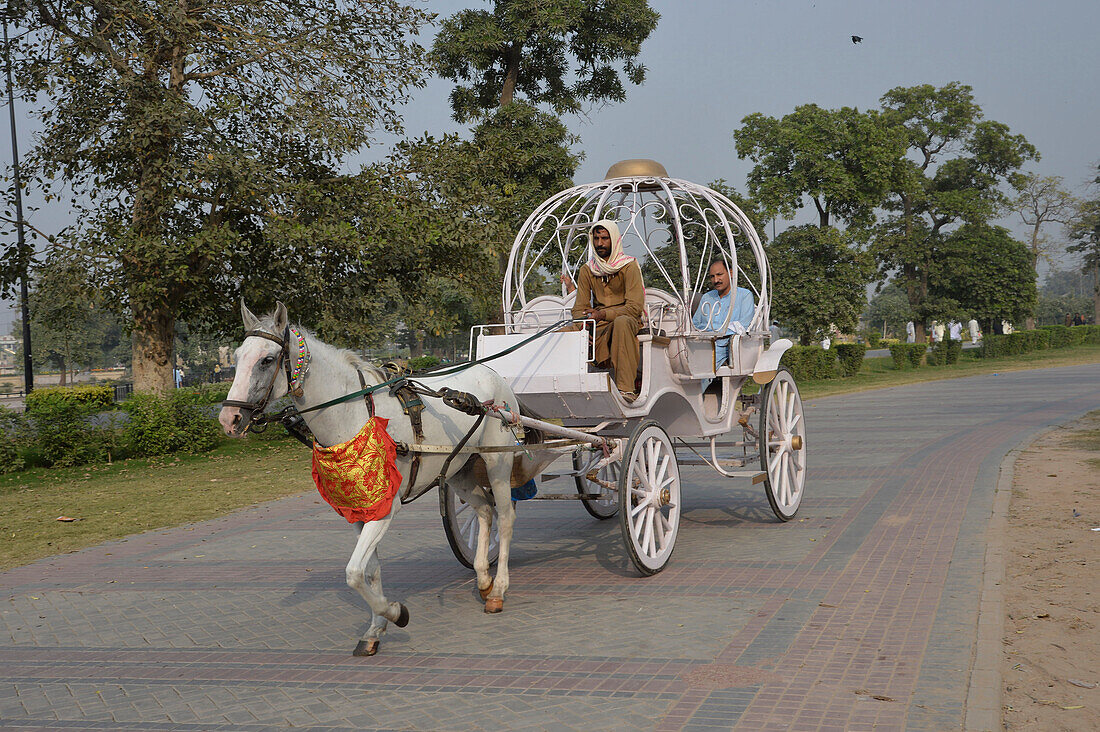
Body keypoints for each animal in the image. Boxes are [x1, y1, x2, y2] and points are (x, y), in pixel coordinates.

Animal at [217, 299, 541, 651]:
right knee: (483, 511)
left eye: (266, 360)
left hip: (497, 460)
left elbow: (354, 572)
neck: (353, 415)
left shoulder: (386, 507)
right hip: (459, 467)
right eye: (237, 356)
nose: (229, 418)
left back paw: (498, 590)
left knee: (505, 517)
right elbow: (369, 571)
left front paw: (395, 613)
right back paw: (483, 578)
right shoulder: (360, 510)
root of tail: (493, 374)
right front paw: (375, 628)